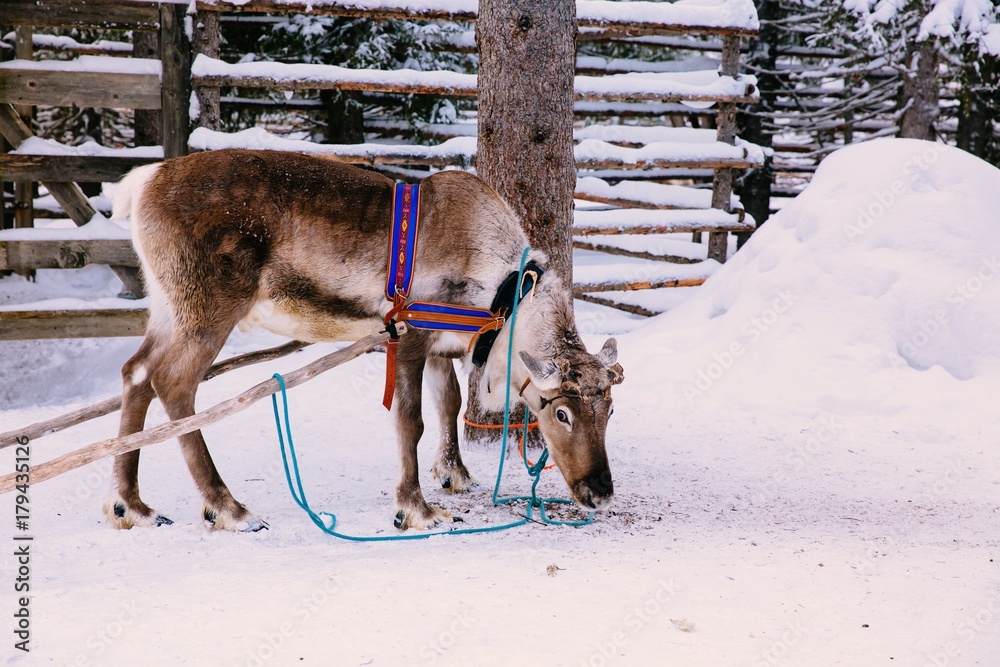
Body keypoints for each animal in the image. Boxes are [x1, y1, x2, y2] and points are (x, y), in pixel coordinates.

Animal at [108, 149, 624, 532]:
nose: (600, 491)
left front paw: (454, 474)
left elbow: (450, 404)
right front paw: (416, 509)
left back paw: (131, 504)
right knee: (172, 382)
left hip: (167, 305)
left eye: (611, 409)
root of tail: (141, 183)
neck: (504, 296)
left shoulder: (441, 348)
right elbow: (411, 421)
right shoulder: (409, 336)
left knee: (135, 372)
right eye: (561, 412)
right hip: (208, 306)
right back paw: (228, 508)